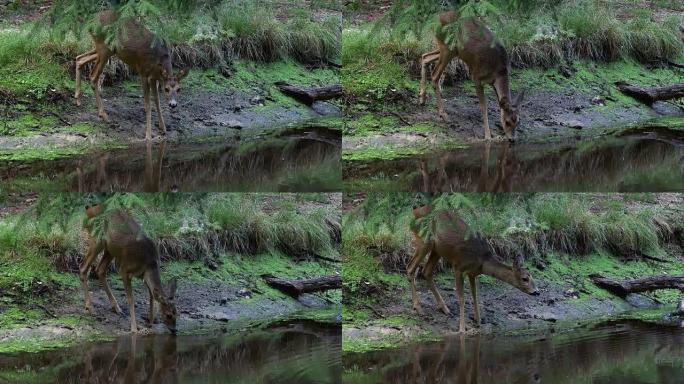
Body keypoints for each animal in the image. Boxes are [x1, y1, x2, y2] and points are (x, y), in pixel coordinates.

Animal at [74, 9, 190, 140]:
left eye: (179, 89)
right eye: (166, 89)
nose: (173, 104)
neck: (159, 59)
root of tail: (90, 21)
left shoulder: (154, 77)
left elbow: (157, 101)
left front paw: (163, 128)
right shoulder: (143, 73)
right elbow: (147, 104)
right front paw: (148, 135)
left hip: (103, 49)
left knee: (80, 58)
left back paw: (78, 98)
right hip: (104, 48)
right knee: (93, 76)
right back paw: (103, 115)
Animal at [81, 204, 179, 332]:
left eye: (177, 313)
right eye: (168, 315)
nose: (174, 330)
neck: (149, 264)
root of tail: (88, 210)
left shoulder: (144, 275)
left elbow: (151, 296)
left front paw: (150, 322)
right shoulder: (124, 269)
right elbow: (131, 299)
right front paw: (134, 328)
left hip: (110, 249)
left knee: (100, 269)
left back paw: (116, 307)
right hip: (96, 238)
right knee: (83, 267)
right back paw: (90, 307)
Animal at [406, 204, 540, 332]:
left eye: (532, 276)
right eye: (525, 278)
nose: (537, 292)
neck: (482, 261)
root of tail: (413, 213)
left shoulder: (472, 273)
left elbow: (475, 295)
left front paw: (478, 321)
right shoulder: (458, 267)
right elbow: (462, 298)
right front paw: (462, 328)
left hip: (437, 249)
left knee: (426, 271)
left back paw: (444, 309)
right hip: (424, 240)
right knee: (410, 268)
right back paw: (418, 308)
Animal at [416, 11, 524, 141]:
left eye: (518, 122)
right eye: (507, 122)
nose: (512, 139)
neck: (499, 71)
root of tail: (437, 17)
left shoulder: (492, 81)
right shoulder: (476, 76)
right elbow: (483, 107)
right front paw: (488, 136)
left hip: (449, 49)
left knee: (425, 56)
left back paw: (422, 98)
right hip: (448, 48)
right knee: (435, 75)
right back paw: (442, 114)